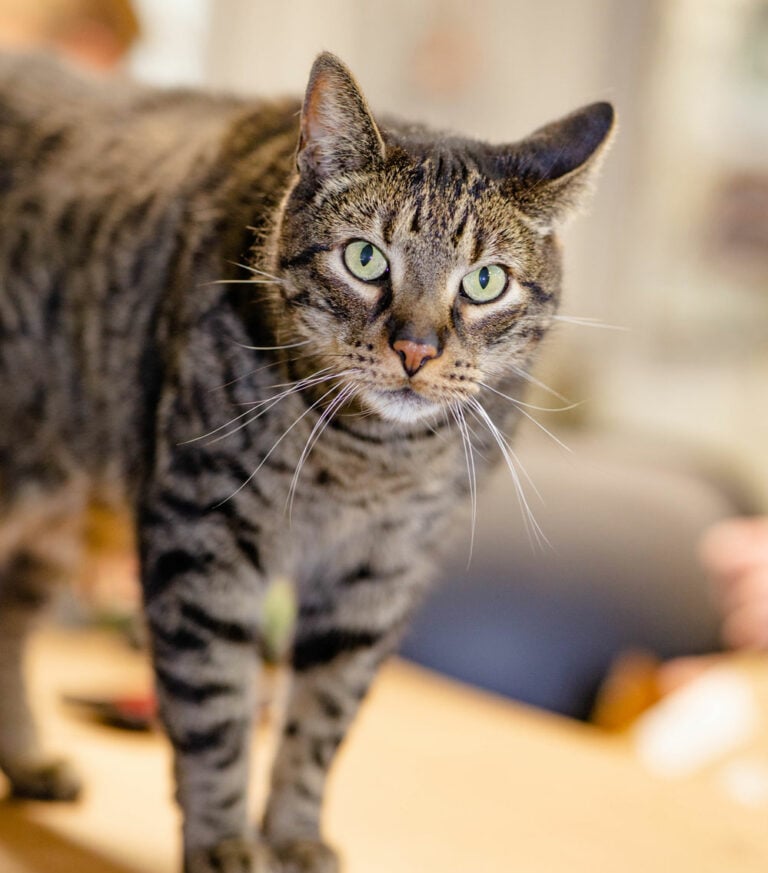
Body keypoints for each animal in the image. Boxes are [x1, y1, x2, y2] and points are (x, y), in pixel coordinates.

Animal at [0, 52, 616, 872]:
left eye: (485, 282)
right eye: (365, 258)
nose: (416, 348)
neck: (366, 461)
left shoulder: (381, 573)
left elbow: (321, 722)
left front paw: (293, 834)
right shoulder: (204, 538)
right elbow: (215, 710)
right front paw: (224, 842)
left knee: (10, 620)